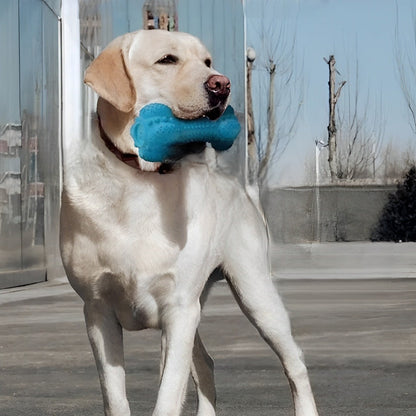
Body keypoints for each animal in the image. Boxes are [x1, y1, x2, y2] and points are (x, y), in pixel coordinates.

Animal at [59, 30, 318, 416]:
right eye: (167, 60)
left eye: (207, 62)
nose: (222, 84)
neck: (141, 181)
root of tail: (240, 187)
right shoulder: (97, 309)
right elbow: (116, 397)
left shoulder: (179, 307)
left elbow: (167, 396)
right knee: (205, 363)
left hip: (254, 292)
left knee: (295, 360)